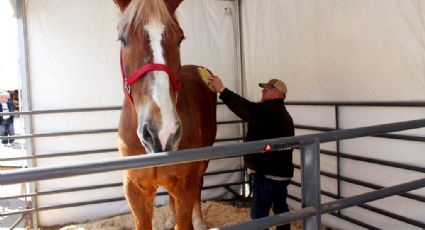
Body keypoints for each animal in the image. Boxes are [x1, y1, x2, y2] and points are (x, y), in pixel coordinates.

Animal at [113, 0, 215, 230]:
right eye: (123, 39)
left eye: (180, 39)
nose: (162, 132)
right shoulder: (135, 190)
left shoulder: (185, 184)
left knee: (199, 184)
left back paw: (199, 220)